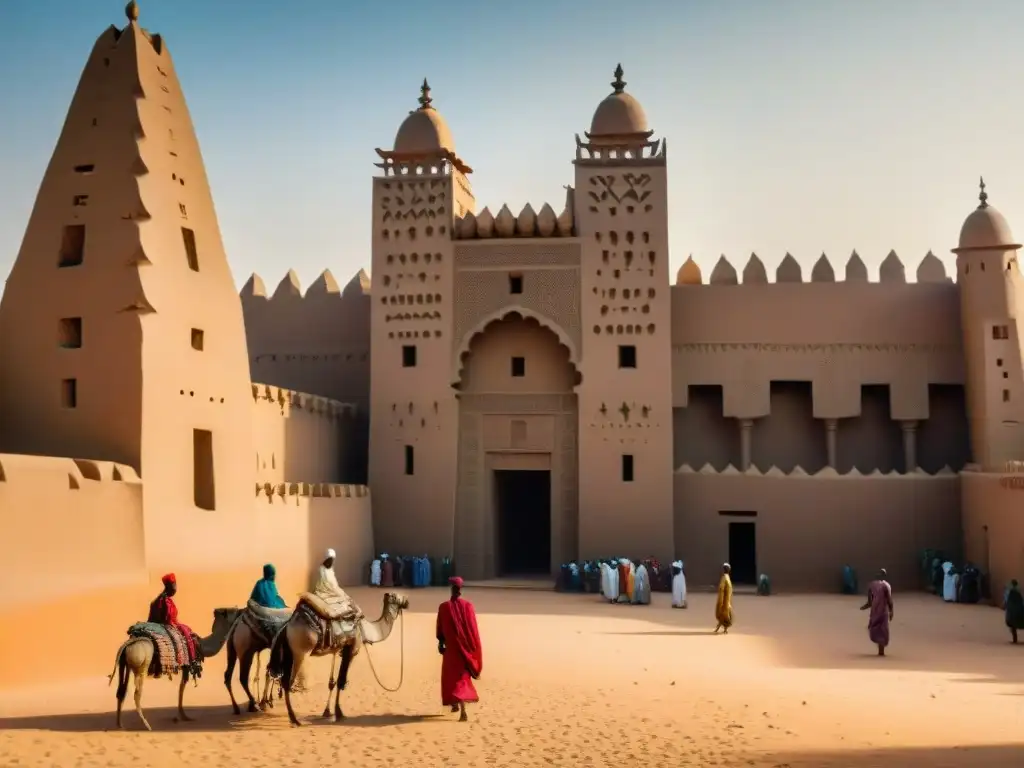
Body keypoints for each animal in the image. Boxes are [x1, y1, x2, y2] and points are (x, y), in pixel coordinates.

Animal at [107, 606, 239, 733]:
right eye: (233, 611)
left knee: (121, 691)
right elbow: (182, 687)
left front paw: (182, 716)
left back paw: (120, 725)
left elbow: (181, 687)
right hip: (141, 666)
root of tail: (130, 641)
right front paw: (183, 716)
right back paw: (147, 726)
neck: (200, 645)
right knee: (137, 693)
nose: (240, 611)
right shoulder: (187, 664)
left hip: (124, 664)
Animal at [270, 593, 409, 729]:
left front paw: (327, 712)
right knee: (288, 683)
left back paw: (292, 718)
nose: (407, 601)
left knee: (284, 680)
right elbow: (341, 681)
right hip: (301, 651)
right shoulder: (352, 649)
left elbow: (332, 682)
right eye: (397, 597)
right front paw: (339, 713)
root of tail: (287, 627)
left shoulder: (337, 650)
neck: (365, 629)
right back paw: (295, 720)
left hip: (289, 653)